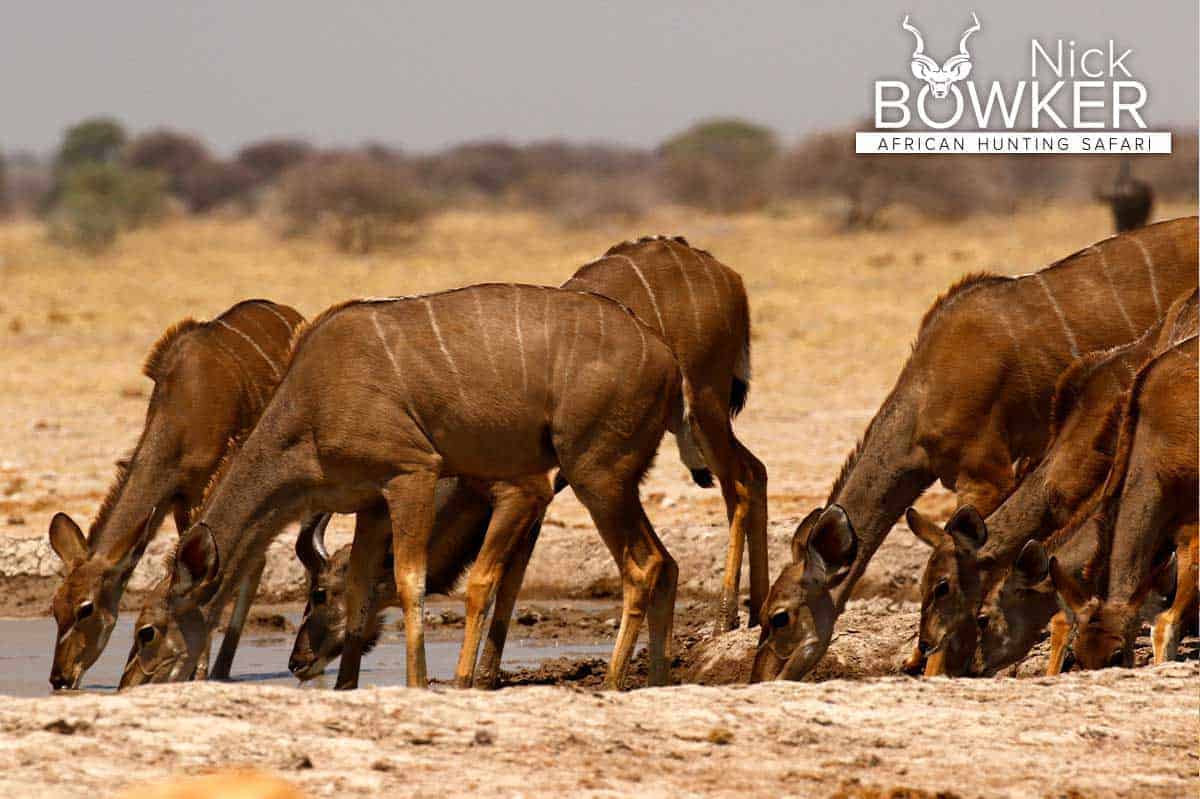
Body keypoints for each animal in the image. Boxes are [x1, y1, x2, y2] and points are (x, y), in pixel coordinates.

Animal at [49, 298, 304, 686]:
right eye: (55, 606)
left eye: (85, 609)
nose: (59, 678)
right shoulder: (178, 500)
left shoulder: (202, 488)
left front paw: (195, 673)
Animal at [125, 283, 696, 686]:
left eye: (146, 629)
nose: (130, 682)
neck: (311, 400)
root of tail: (668, 358)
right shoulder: (372, 503)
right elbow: (362, 590)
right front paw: (346, 687)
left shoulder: (412, 474)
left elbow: (409, 581)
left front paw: (419, 683)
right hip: (619, 480)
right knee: (666, 562)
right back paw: (657, 681)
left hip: (594, 474)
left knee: (642, 566)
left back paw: (615, 682)